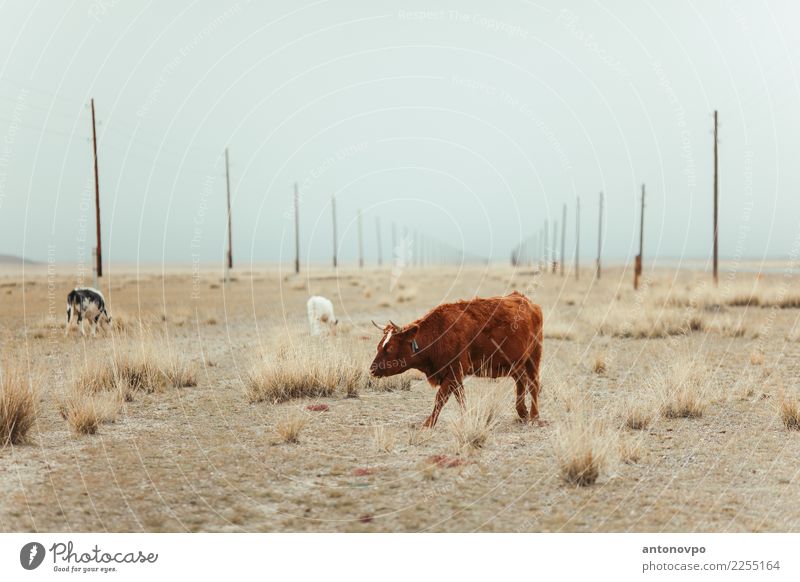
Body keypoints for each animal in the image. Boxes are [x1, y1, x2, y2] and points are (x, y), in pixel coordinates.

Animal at [370, 292, 544, 428]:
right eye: (379, 346)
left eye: (390, 348)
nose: (372, 369)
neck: (438, 333)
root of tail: (528, 302)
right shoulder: (455, 376)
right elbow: (460, 397)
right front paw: (466, 417)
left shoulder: (453, 372)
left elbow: (441, 398)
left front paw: (428, 423)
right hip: (515, 363)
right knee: (521, 381)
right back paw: (522, 413)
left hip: (533, 358)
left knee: (533, 384)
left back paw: (534, 417)